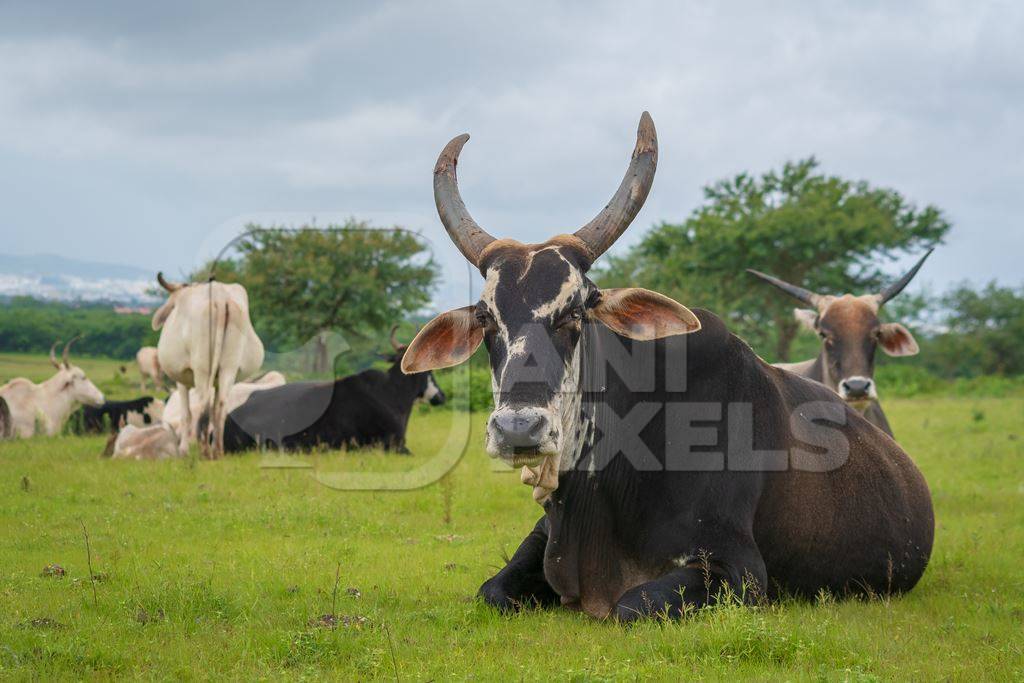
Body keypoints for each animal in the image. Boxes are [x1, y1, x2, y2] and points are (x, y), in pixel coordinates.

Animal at [152, 274, 266, 458]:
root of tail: (221, 298)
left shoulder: (181, 380)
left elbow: (186, 414)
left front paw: (183, 451)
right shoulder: (218, 381)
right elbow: (214, 410)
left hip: (202, 369)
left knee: (202, 407)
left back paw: (204, 451)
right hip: (229, 367)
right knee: (221, 407)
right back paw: (217, 450)